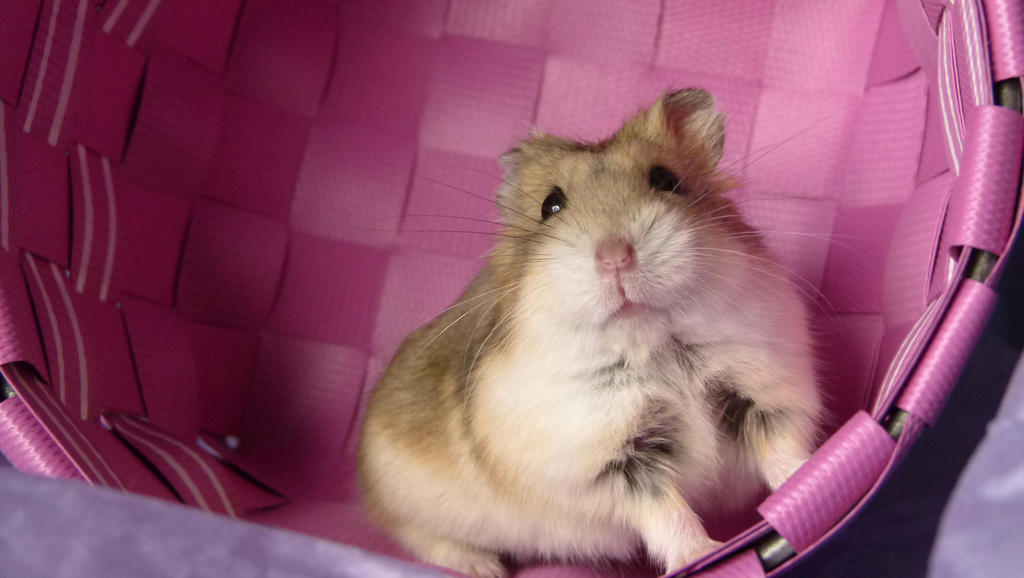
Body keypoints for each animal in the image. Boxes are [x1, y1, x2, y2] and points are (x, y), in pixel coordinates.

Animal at [358, 89, 822, 578]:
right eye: (551, 206)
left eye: (666, 180)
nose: (616, 257)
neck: (654, 340)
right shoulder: (613, 463)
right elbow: (668, 512)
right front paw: (703, 553)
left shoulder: (763, 400)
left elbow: (782, 455)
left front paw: (812, 482)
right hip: (410, 508)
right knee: (420, 537)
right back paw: (486, 567)